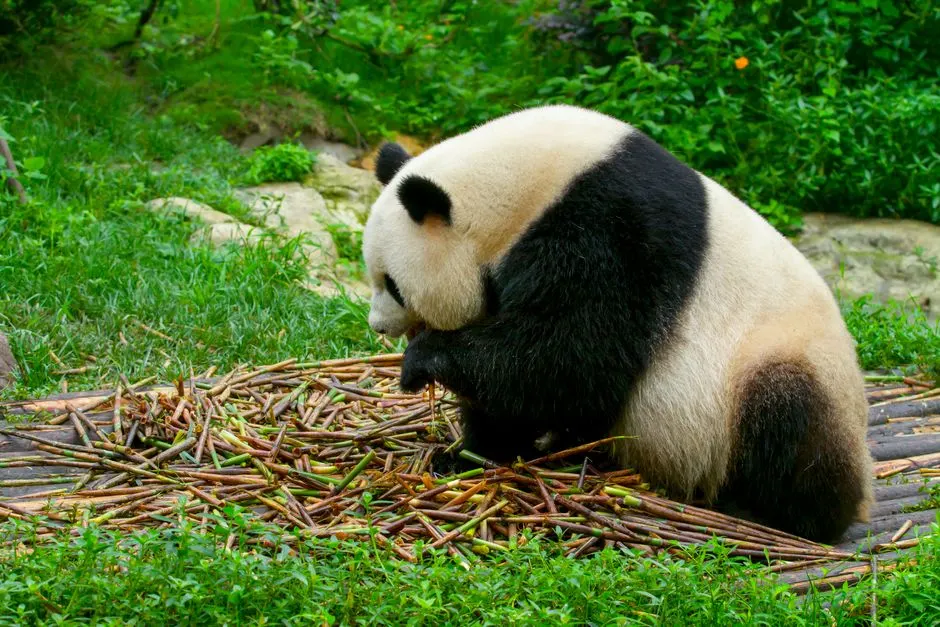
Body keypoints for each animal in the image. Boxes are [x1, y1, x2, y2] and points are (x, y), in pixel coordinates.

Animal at [362, 104, 873, 543]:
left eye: (393, 285)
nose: (377, 326)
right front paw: (465, 454)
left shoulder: (612, 230)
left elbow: (569, 358)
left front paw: (423, 361)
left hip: (781, 363)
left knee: (788, 421)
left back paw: (775, 512)